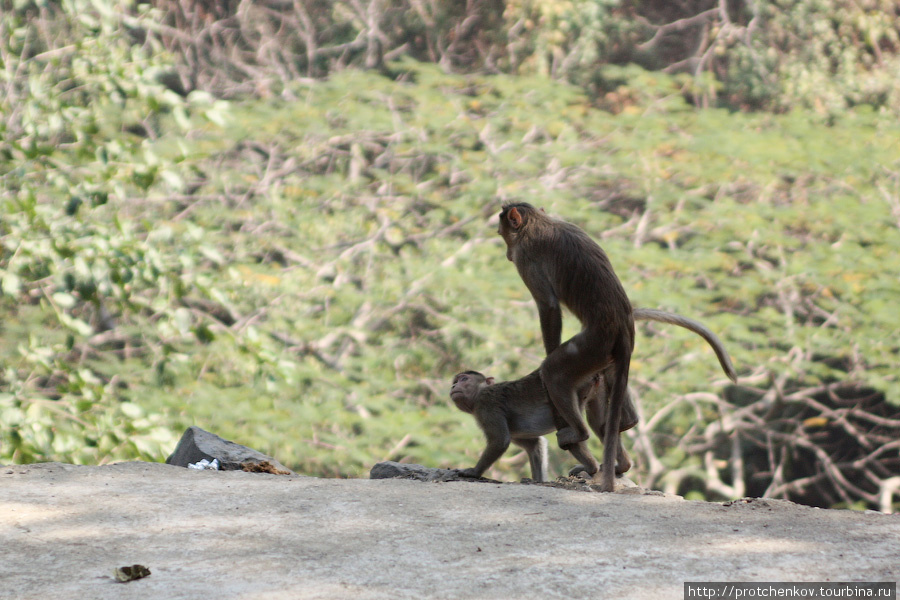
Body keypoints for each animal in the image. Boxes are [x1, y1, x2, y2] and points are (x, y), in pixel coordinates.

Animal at [450, 310, 740, 482]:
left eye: (463, 379)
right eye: (455, 380)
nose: (453, 387)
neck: (478, 396)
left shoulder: (487, 407)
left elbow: (500, 441)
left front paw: (473, 471)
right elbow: (534, 446)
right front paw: (537, 480)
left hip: (575, 385)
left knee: (575, 427)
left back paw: (590, 467)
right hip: (596, 384)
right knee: (600, 424)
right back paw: (620, 466)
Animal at [496, 202, 636, 492]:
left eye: (503, 235)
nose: (507, 255)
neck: (539, 223)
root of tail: (623, 330)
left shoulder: (526, 256)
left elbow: (548, 305)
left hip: (592, 346)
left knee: (554, 371)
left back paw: (579, 433)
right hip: (601, 355)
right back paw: (621, 461)